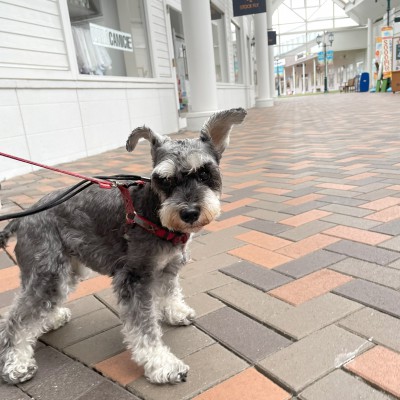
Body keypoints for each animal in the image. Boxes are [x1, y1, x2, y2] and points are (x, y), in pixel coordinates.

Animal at [0, 106, 245, 384]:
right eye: (164, 180)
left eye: (204, 172)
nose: (190, 213)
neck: (153, 212)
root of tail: (24, 217)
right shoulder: (134, 278)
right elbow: (144, 328)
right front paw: (163, 365)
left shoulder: (168, 268)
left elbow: (170, 291)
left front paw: (176, 312)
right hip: (48, 272)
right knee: (16, 319)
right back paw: (16, 364)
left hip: (64, 270)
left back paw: (52, 318)